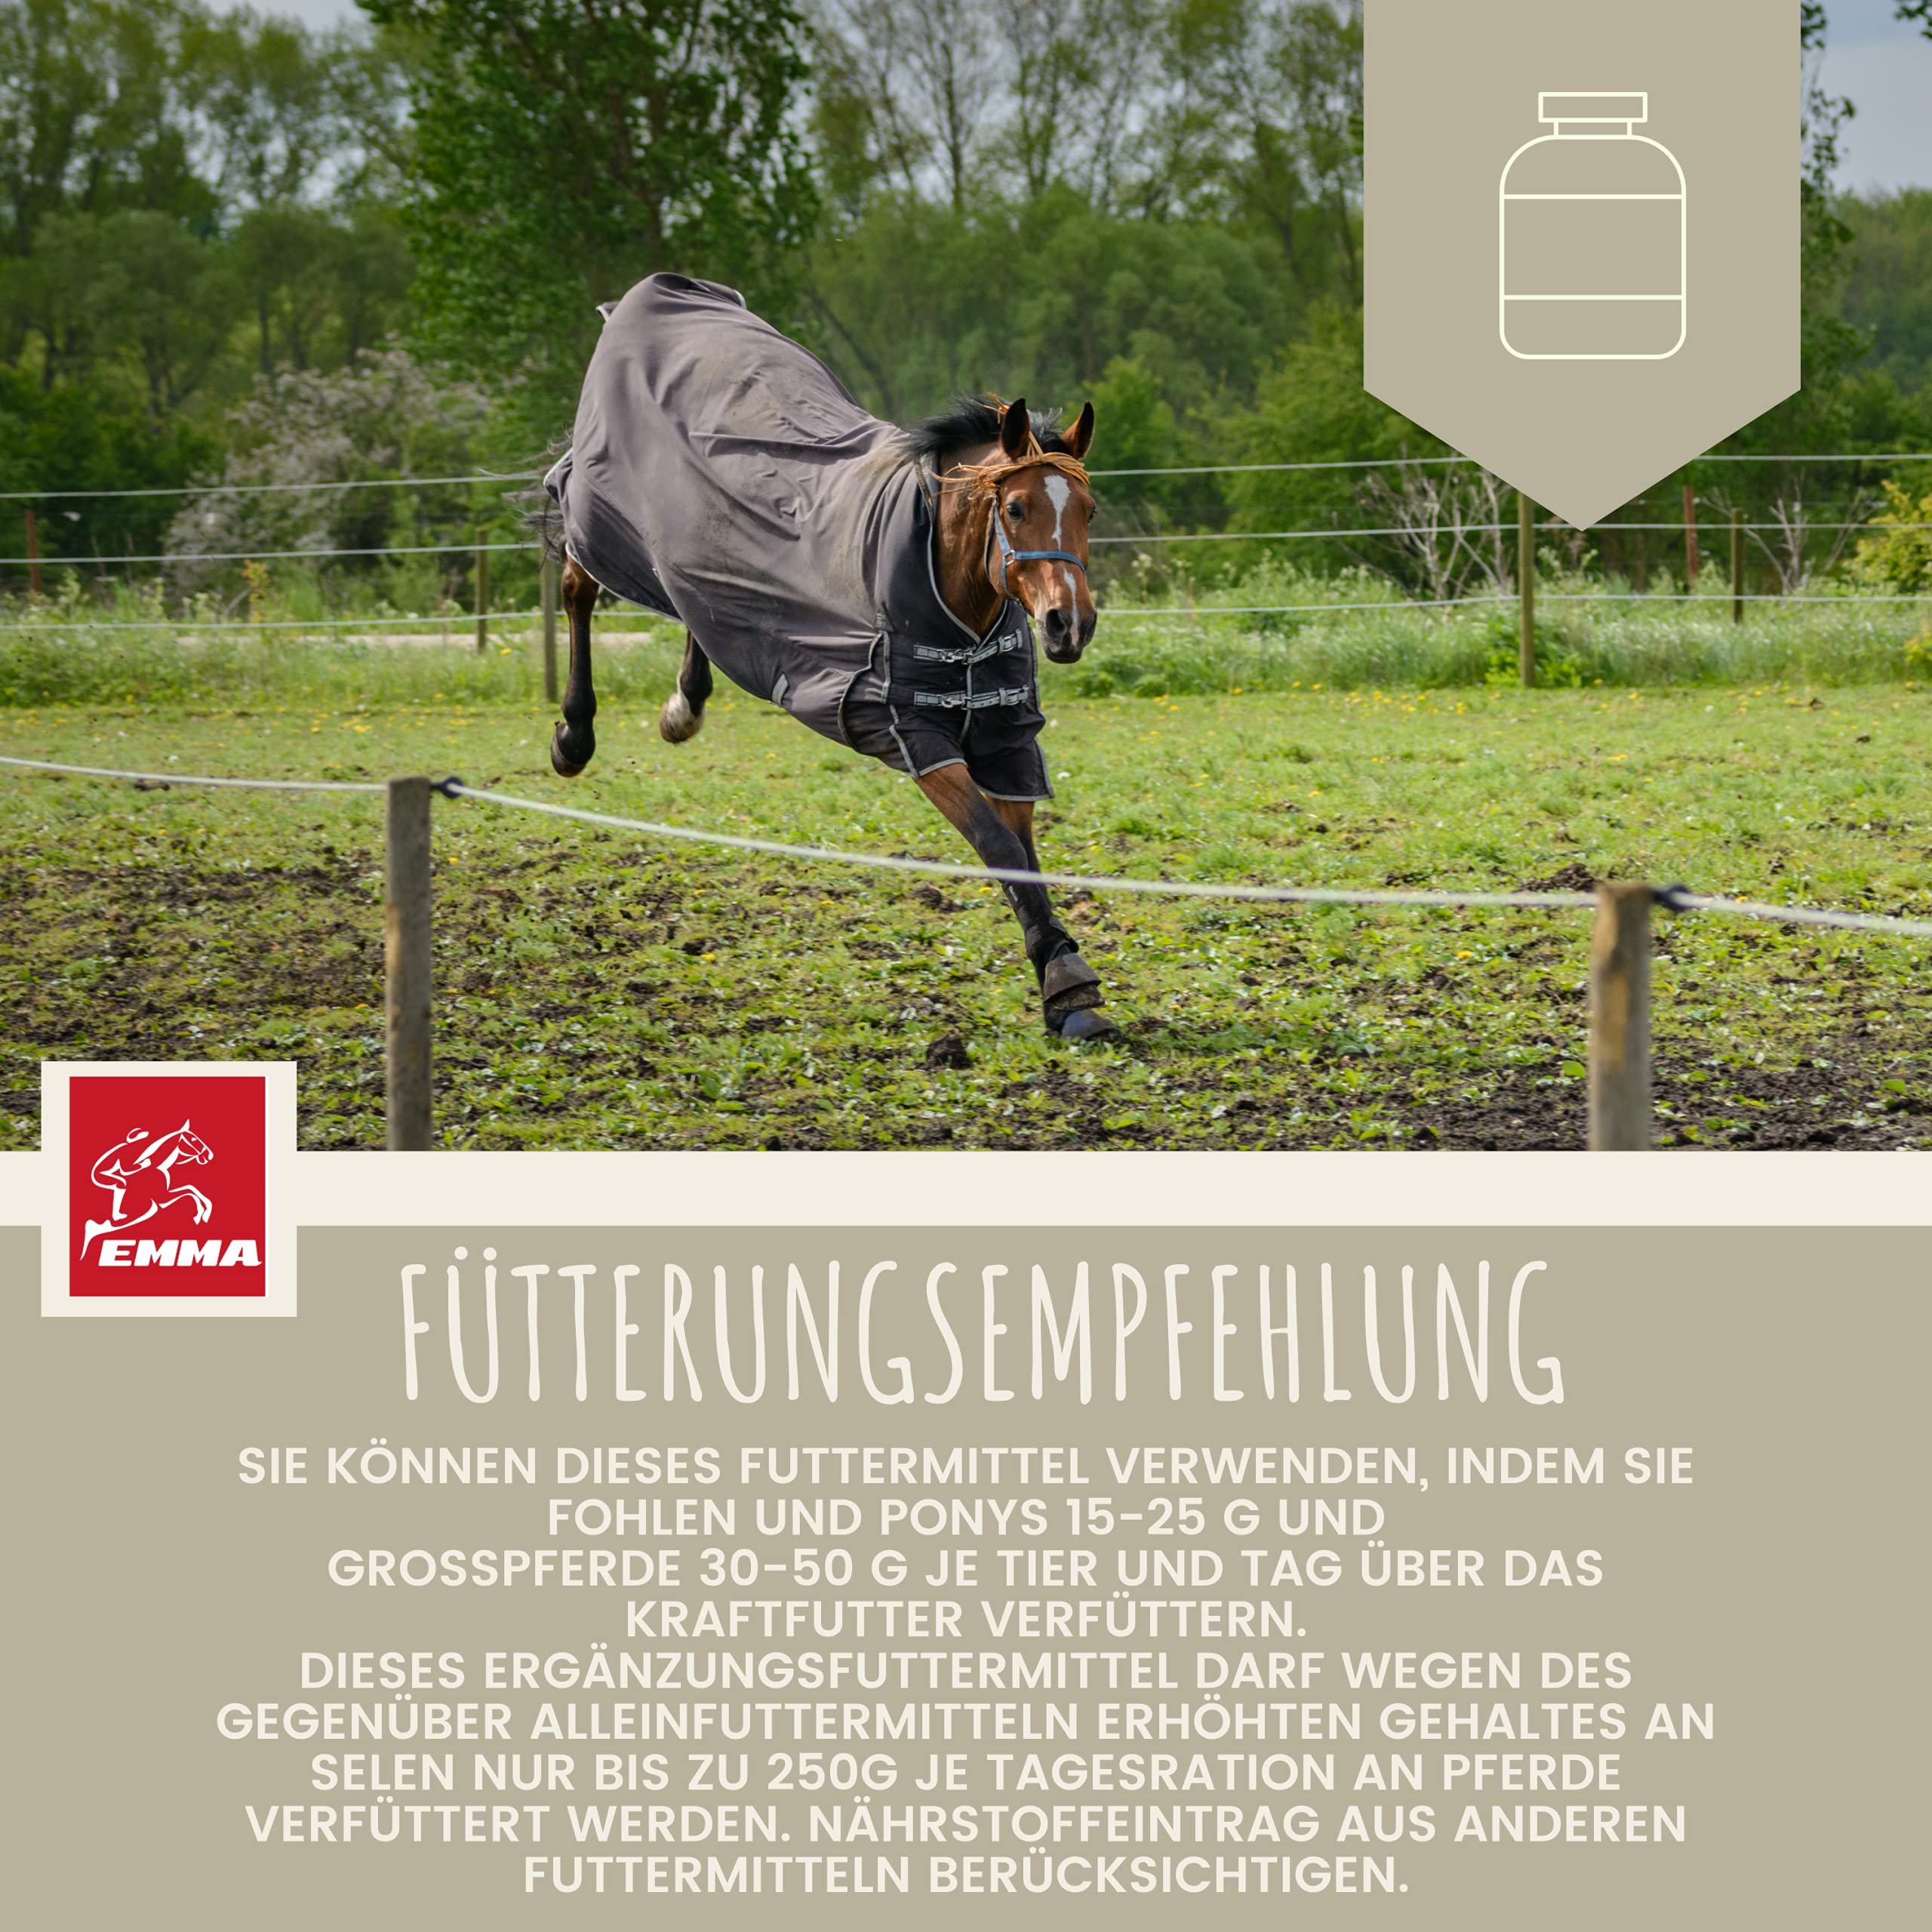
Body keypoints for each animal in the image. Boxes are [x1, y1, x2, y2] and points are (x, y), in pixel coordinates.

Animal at [540, 272, 1115, 1041]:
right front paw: (1066, 981)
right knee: (577, 586)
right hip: (603, 518)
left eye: (1086, 509)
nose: (1067, 625)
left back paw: (683, 707)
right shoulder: (916, 735)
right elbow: (997, 847)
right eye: (1018, 508)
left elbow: (1025, 855)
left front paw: (1065, 980)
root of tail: (663, 289)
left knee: (693, 605)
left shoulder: (1005, 738)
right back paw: (574, 736)